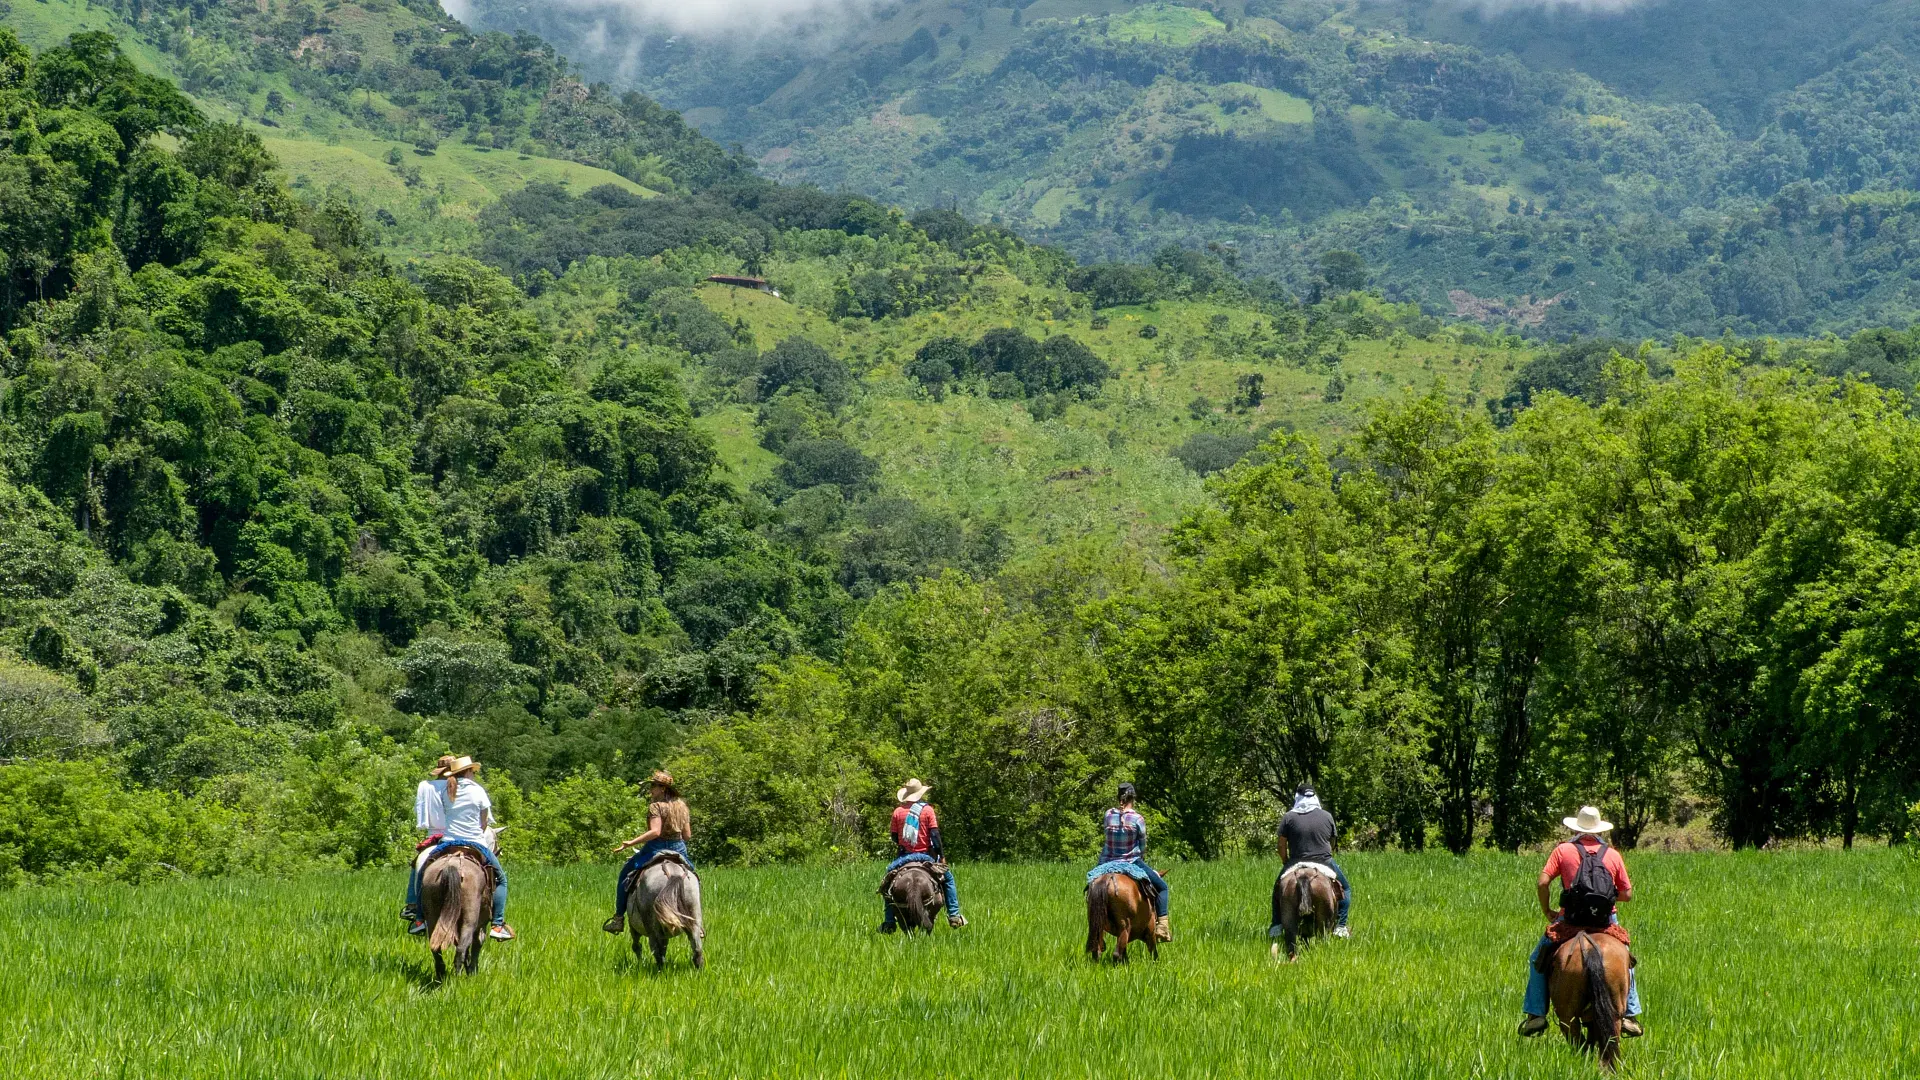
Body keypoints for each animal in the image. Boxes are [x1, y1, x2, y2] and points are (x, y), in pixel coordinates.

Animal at [420, 846, 492, 979]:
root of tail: (451, 865)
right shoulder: (481, 925)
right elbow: (477, 944)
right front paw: (472, 972)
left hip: (432, 918)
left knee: (436, 948)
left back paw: (441, 976)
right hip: (469, 921)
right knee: (461, 949)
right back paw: (457, 979)